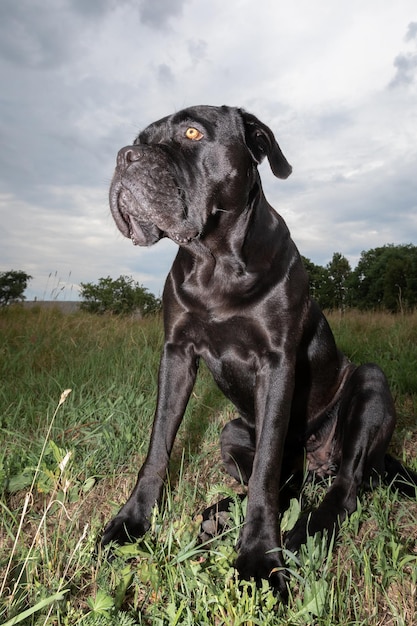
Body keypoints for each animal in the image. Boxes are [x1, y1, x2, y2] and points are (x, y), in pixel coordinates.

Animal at [103, 103, 416, 596]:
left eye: (192, 133)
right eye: (140, 139)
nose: (124, 157)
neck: (213, 262)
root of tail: (319, 460)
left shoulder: (277, 362)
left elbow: (266, 470)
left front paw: (258, 557)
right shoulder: (176, 354)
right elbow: (157, 447)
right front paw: (130, 523)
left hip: (370, 381)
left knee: (344, 487)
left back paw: (305, 532)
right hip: (231, 430)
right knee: (288, 485)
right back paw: (220, 515)